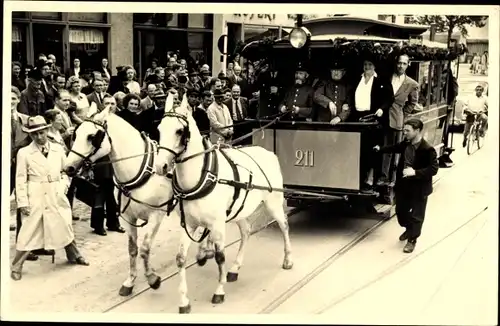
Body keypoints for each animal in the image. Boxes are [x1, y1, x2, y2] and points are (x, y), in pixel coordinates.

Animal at [64, 100, 176, 296]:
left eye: (92, 136)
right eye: (75, 134)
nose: (68, 167)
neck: (143, 171)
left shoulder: (156, 215)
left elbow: (145, 248)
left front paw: (152, 279)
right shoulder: (129, 218)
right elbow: (132, 249)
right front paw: (130, 282)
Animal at [157, 94, 292, 314]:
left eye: (179, 131)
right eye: (159, 129)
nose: (161, 166)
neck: (200, 177)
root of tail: (267, 152)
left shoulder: (217, 224)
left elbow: (220, 256)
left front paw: (219, 291)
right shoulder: (189, 224)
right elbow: (180, 258)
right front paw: (184, 301)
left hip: (273, 203)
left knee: (284, 225)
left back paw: (288, 259)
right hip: (240, 211)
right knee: (246, 232)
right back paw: (235, 268)